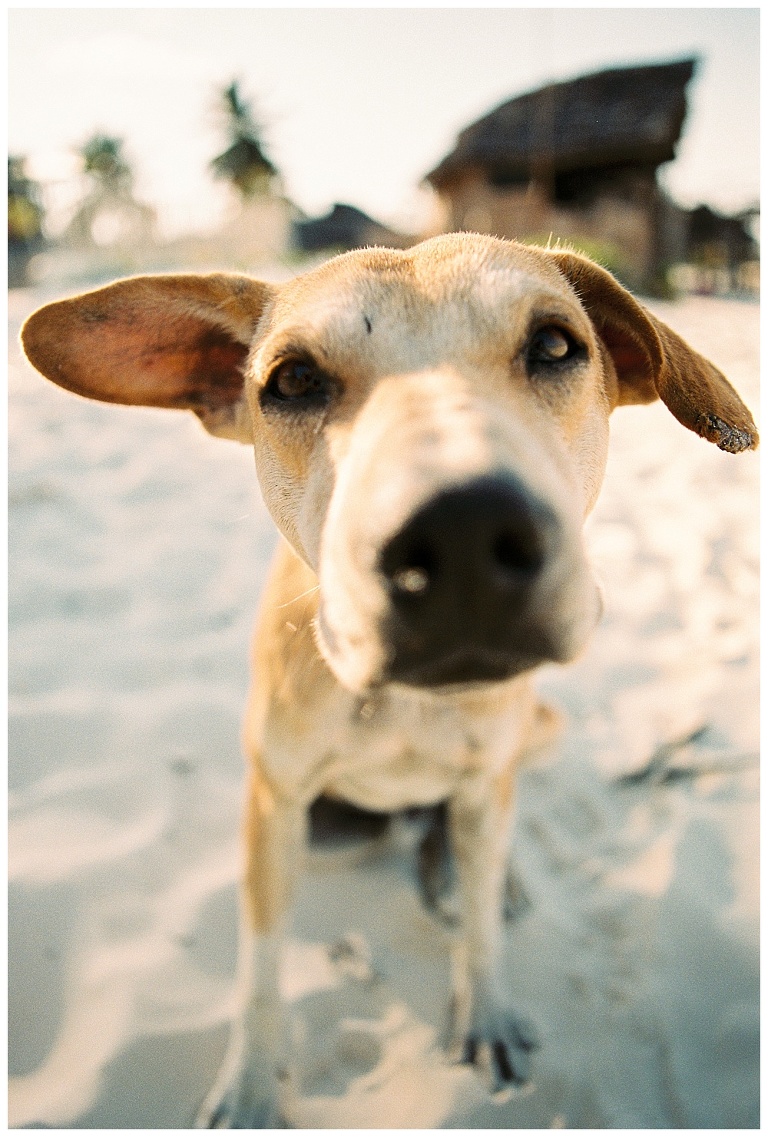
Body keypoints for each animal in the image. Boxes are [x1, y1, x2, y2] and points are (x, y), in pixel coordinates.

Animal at [21, 233, 760, 1127]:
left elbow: (480, 923)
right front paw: (251, 1080)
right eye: (292, 380)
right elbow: (260, 963)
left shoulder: (486, 773)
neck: (409, 702)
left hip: (537, 735)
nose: (463, 534)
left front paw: (487, 1004)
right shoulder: (273, 806)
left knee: (480, 825)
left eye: (555, 345)